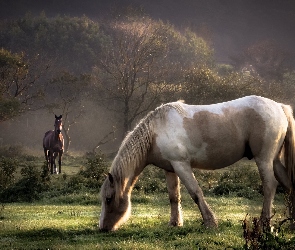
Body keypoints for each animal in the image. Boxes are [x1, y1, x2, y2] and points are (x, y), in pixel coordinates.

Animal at [99, 95, 295, 230]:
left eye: (108, 198)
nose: (103, 228)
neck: (156, 131)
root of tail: (279, 107)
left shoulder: (181, 165)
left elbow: (196, 193)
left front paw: (210, 222)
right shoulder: (170, 169)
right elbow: (174, 196)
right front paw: (175, 223)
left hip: (264, 159)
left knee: (270, 185)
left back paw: (265, 223)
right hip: (274, 161)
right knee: (287, 184)